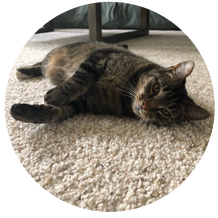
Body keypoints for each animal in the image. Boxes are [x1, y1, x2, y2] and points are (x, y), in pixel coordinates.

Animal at [10, 41, 209, 125]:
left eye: (165, 112)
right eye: (156, 87)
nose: (145, 105)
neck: (122, 93)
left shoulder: (80, 104)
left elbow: (54, 113)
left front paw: (23, 112)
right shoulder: (98, 59)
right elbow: (78, 80)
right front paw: (58, 94)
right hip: (53, 57)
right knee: (40, 64)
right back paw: (23, 71)